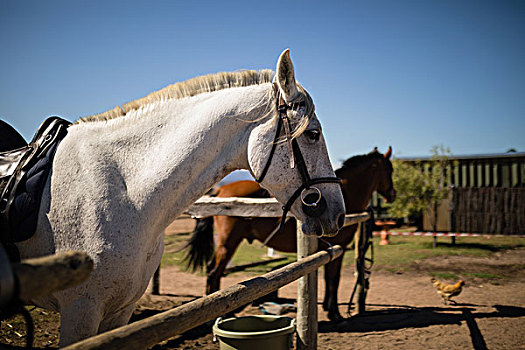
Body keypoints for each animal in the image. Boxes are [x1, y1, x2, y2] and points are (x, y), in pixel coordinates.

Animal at [184, 146, 392, 322]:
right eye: (389, 169)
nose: (393, 194)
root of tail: (220, 190)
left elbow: (329, 279)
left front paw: (328, 308)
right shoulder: (337, 249)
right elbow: (334, 280)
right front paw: (335, 314)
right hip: (228, 243)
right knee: (214, 272)